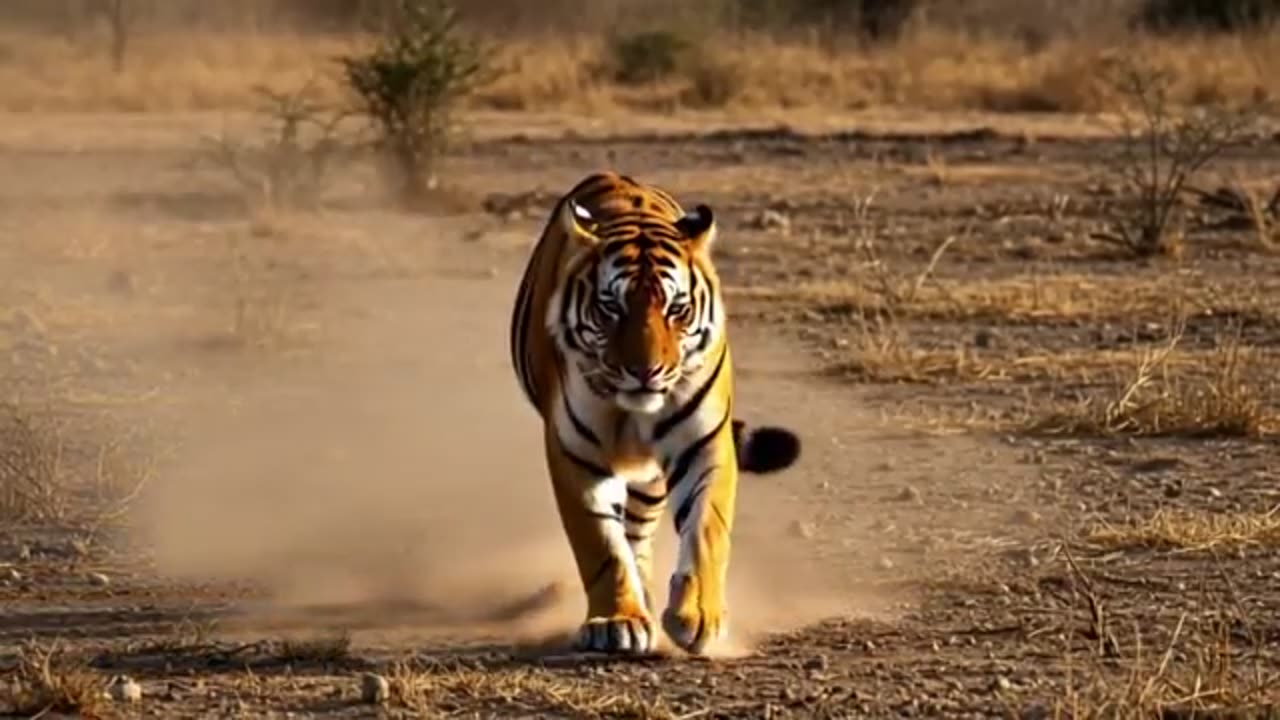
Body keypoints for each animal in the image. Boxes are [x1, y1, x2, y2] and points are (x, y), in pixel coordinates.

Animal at [508, 171, 802, 656]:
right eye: (612, 307)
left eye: (676, 309)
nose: (645, 371)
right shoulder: (575, 454)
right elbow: (601, 546)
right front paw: (617, 621)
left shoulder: (704, 444)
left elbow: (706, 528)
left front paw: (698, 617)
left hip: (648, 477)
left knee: (640, 529)